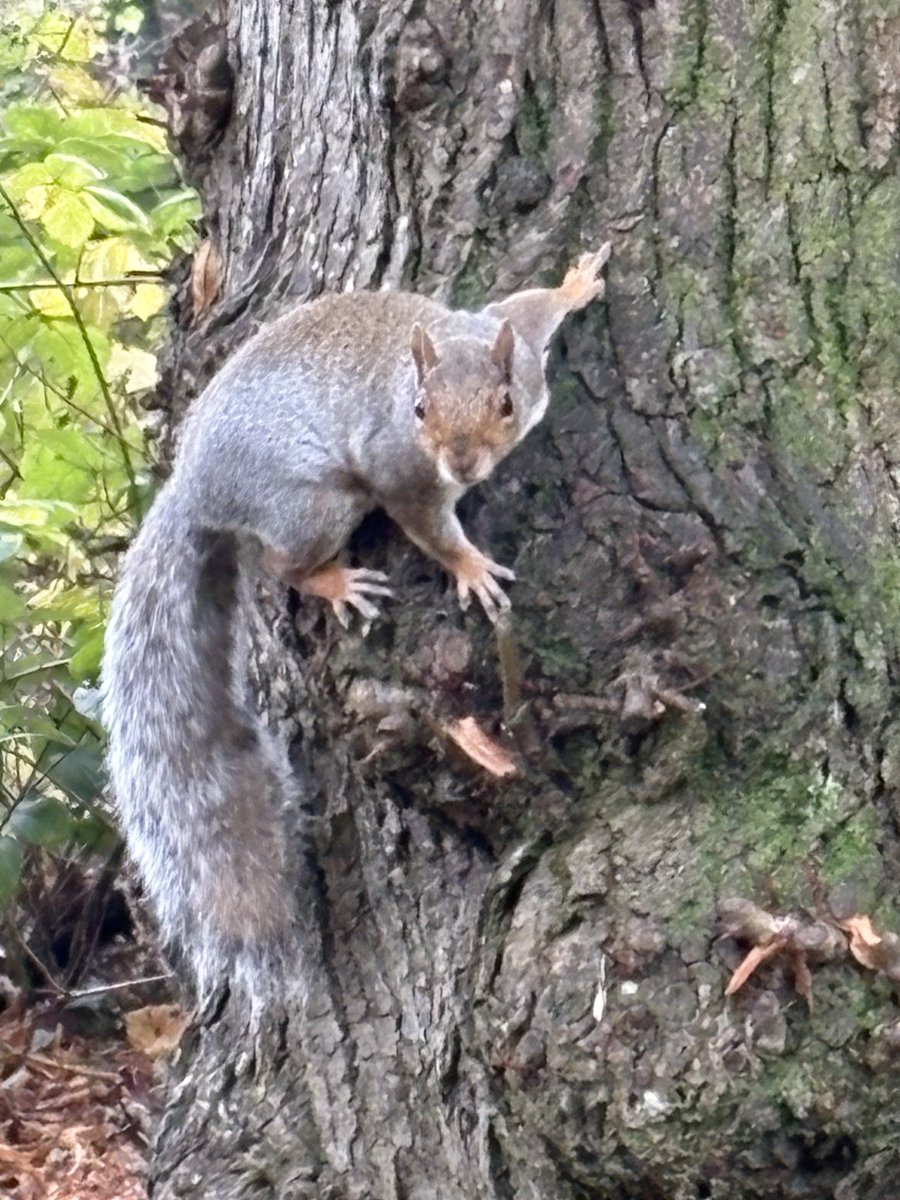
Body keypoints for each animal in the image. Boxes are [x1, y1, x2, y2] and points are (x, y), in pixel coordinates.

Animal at [101, 244, 611, 1000]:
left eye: (506, 402)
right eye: (421, 411)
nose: (462, 462)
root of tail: (193, 491)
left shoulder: (509, 337)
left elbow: (531, 307)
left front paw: (577, 284)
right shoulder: (400, 471)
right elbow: (428, 526)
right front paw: (470, 568)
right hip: (316, 505)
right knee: (280, 563)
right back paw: (334, 580)